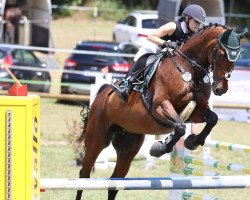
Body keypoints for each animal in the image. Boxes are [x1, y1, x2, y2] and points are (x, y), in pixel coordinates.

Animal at [75, 24, 245, 199]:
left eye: (236, 57)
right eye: (221, 54)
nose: (221, 89)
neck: (189, 69)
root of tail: (102, 94)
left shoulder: (197, 110)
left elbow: (212, 119)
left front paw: (193, 142)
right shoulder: (160, 106)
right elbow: (180, 127)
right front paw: (159, 148)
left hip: (128, 145)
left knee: (115, 181)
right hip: (97, 139)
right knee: (84, 174)